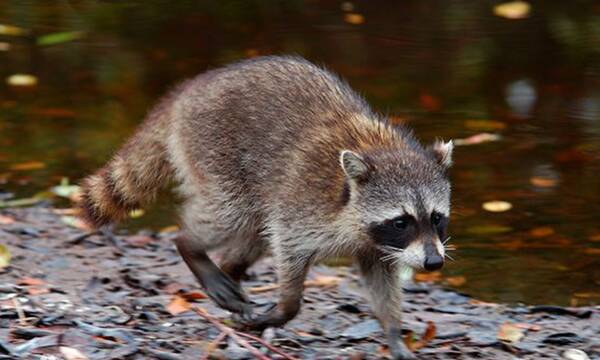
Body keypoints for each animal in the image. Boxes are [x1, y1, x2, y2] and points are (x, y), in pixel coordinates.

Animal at [81, 56, 454, 360]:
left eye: (437, 218)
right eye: (402, 221)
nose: (434, 263)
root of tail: (188, 91)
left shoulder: (377, 246)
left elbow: (382, 281)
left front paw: (393, 332)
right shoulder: (303, 205)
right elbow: (288, 249)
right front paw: (285, 308)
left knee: (253, 233)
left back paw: (227, 270)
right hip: (215, 151)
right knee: (229, 216)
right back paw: (191, 247)